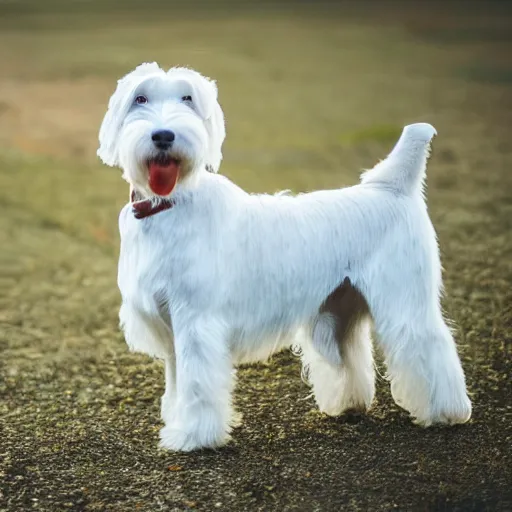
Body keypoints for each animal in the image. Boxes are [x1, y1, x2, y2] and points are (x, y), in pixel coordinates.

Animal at [97, 63, 472, 452]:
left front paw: (194, 435)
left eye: (188, 98)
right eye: (140, 98)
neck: (170, 205)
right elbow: (176, 385)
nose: (163, 136)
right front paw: (177, 424)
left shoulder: (196, 324)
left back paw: (446, 412)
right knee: (348, 355)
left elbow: (197, 385)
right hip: (337, 310)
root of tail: (393, 187)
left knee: (431, 346)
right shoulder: (170, 328)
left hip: (405, 303)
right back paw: (347, 405)